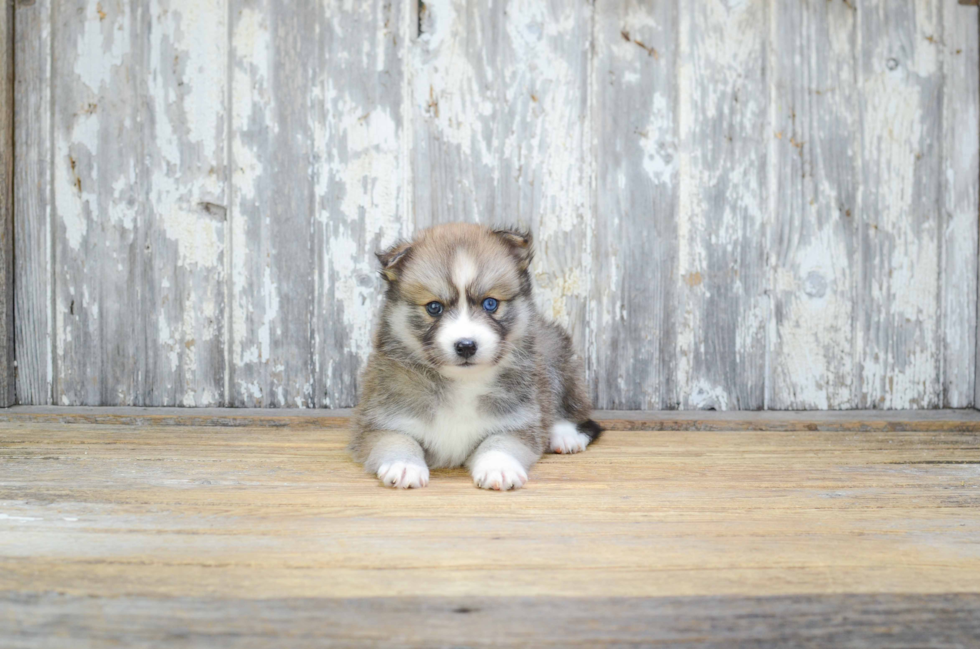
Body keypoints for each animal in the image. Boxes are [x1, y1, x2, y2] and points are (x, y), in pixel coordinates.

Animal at [348, 220, 600, 488]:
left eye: (490, 304)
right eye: (434, 307)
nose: (466, 345)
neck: (462, 382)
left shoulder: (517, 421)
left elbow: (500, 442)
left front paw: (499, 467)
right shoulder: (379, 420)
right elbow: (397, 439)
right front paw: (404, 465)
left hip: (555, 354)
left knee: (570, 407)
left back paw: (564, 436)